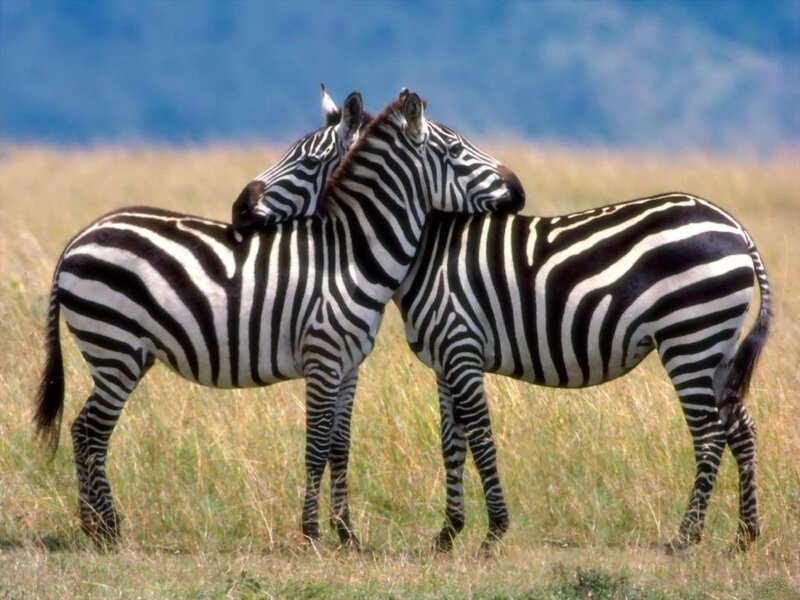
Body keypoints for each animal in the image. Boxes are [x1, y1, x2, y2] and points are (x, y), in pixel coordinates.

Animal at [33, 91, 525, 548]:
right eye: (458, 150)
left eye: (307, 161)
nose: (518, 190)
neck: (350, 254)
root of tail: (78, 239)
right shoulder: (322, 357)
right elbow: (315, 445)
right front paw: (311, 533)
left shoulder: (349, 365)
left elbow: (339, 446)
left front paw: (347, 534)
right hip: (114, 348)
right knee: (89, 432)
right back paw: (106, 530)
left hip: (120, 353)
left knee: (83, 430)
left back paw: (96, 527)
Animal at [237, 104, 770, 552]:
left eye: (307, 161)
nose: (239, 209)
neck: (424, 251)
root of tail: (735, 226)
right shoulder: (443, 359)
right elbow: (451, 444)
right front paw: (447, 535)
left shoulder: (462, 348)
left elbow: (482, 440)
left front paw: (493, 533)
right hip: (717, 347)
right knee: (739, 429)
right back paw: (744, 536)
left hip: (689, 339)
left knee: (708, 436)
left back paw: (685, 538)